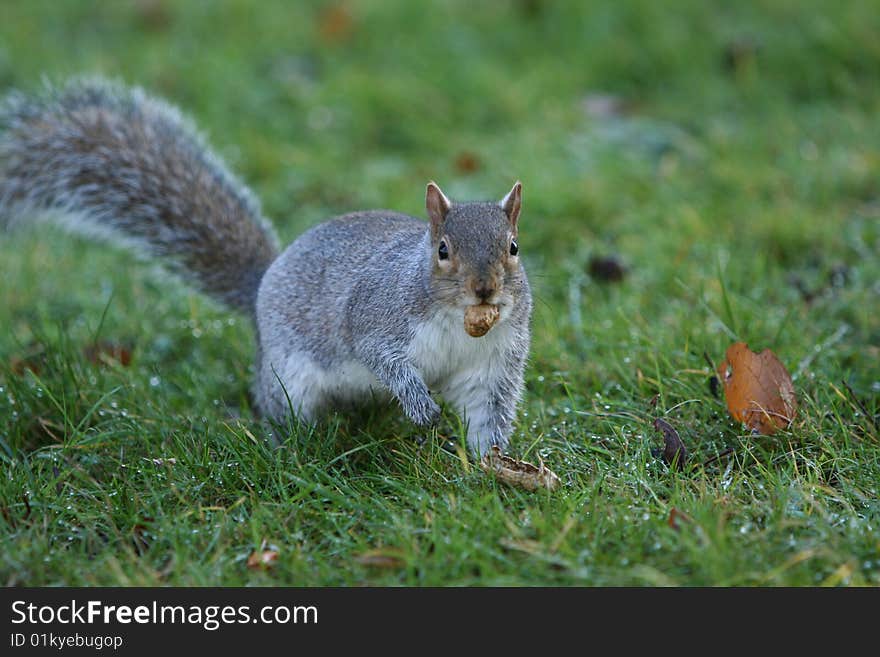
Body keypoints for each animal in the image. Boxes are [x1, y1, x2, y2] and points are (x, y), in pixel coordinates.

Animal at [0, 78, 532, 456]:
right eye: (442, 250)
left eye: (513, 247)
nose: (484, 290)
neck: (460, 324)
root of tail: (261, 284)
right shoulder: (378, 317)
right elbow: (385, 358)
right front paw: (421, 408)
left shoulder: (493, 363)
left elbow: (489, 411)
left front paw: (492, 467)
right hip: (288, 376)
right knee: (285, 411)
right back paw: (293, 447)